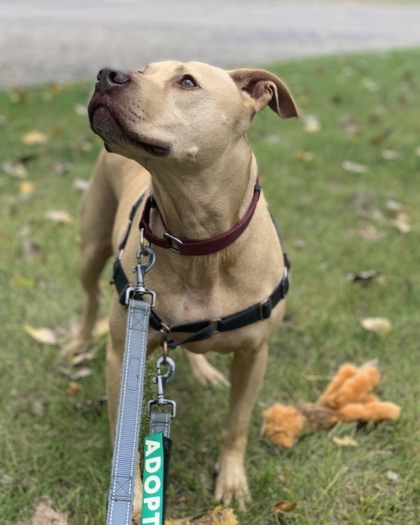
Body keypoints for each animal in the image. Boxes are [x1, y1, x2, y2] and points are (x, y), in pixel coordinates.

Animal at [70, 61, 296, 516]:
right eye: (142, 68)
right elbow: (125, 434)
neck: (199, 241)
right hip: (91, 248)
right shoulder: (122, 357)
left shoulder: (254, 356)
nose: (106, 74)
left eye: (187, 81)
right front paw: (137, 495)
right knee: (88, 298)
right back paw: (80, 340)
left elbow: (236, 425)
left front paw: (232, 482)